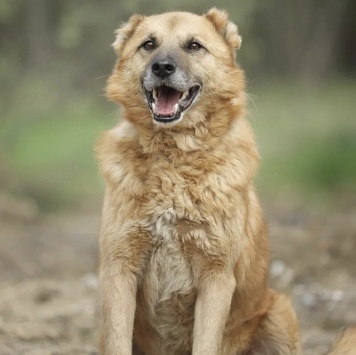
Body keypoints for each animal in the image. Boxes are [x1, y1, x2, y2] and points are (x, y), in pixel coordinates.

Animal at [96, 8, 304, 355]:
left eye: (194, 46)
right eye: (148, 44)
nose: (162, 67)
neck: (173, 160)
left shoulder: (216, 277)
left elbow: (206, 342)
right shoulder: (119, 270)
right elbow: (116, 342)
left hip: (280, 313)